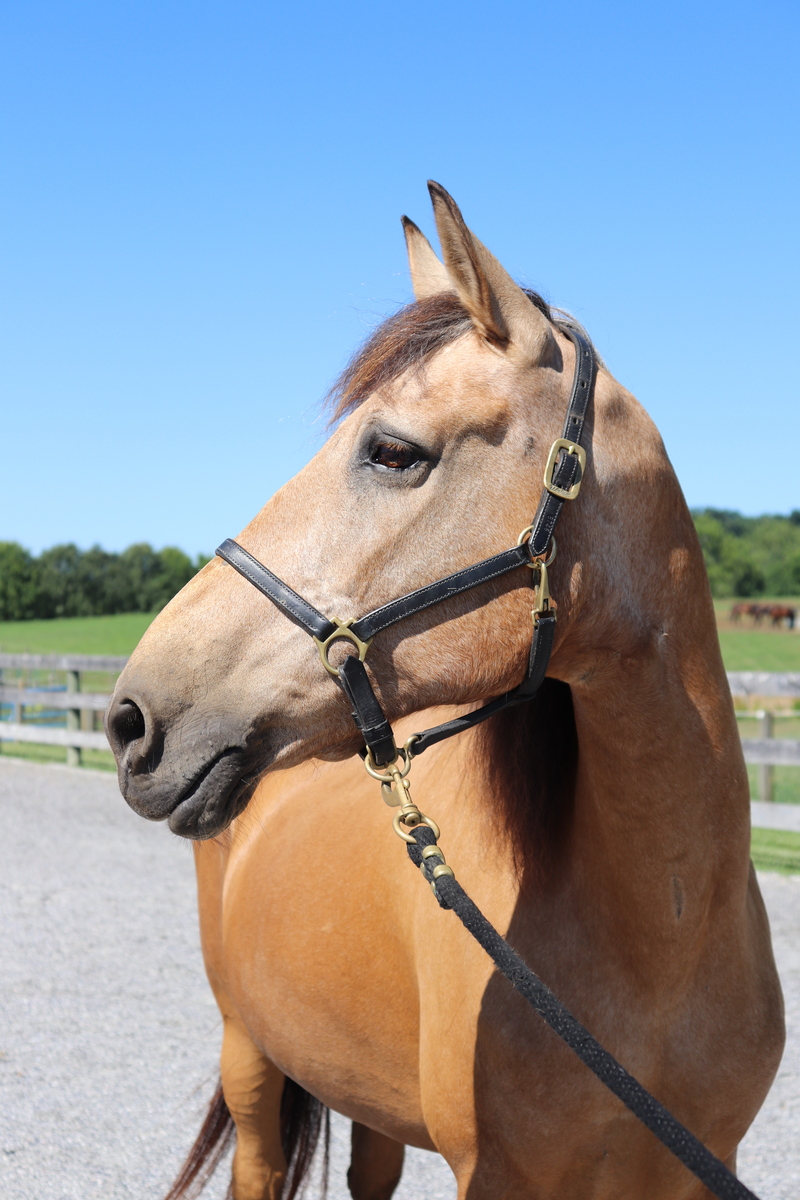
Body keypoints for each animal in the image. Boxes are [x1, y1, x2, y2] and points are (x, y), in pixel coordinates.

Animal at [106, 182, 784, 1200]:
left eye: (392, 451)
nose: (129, 720)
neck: (659, 936)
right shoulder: (496, 1174)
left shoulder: (700, 1169)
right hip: (248, 1049)